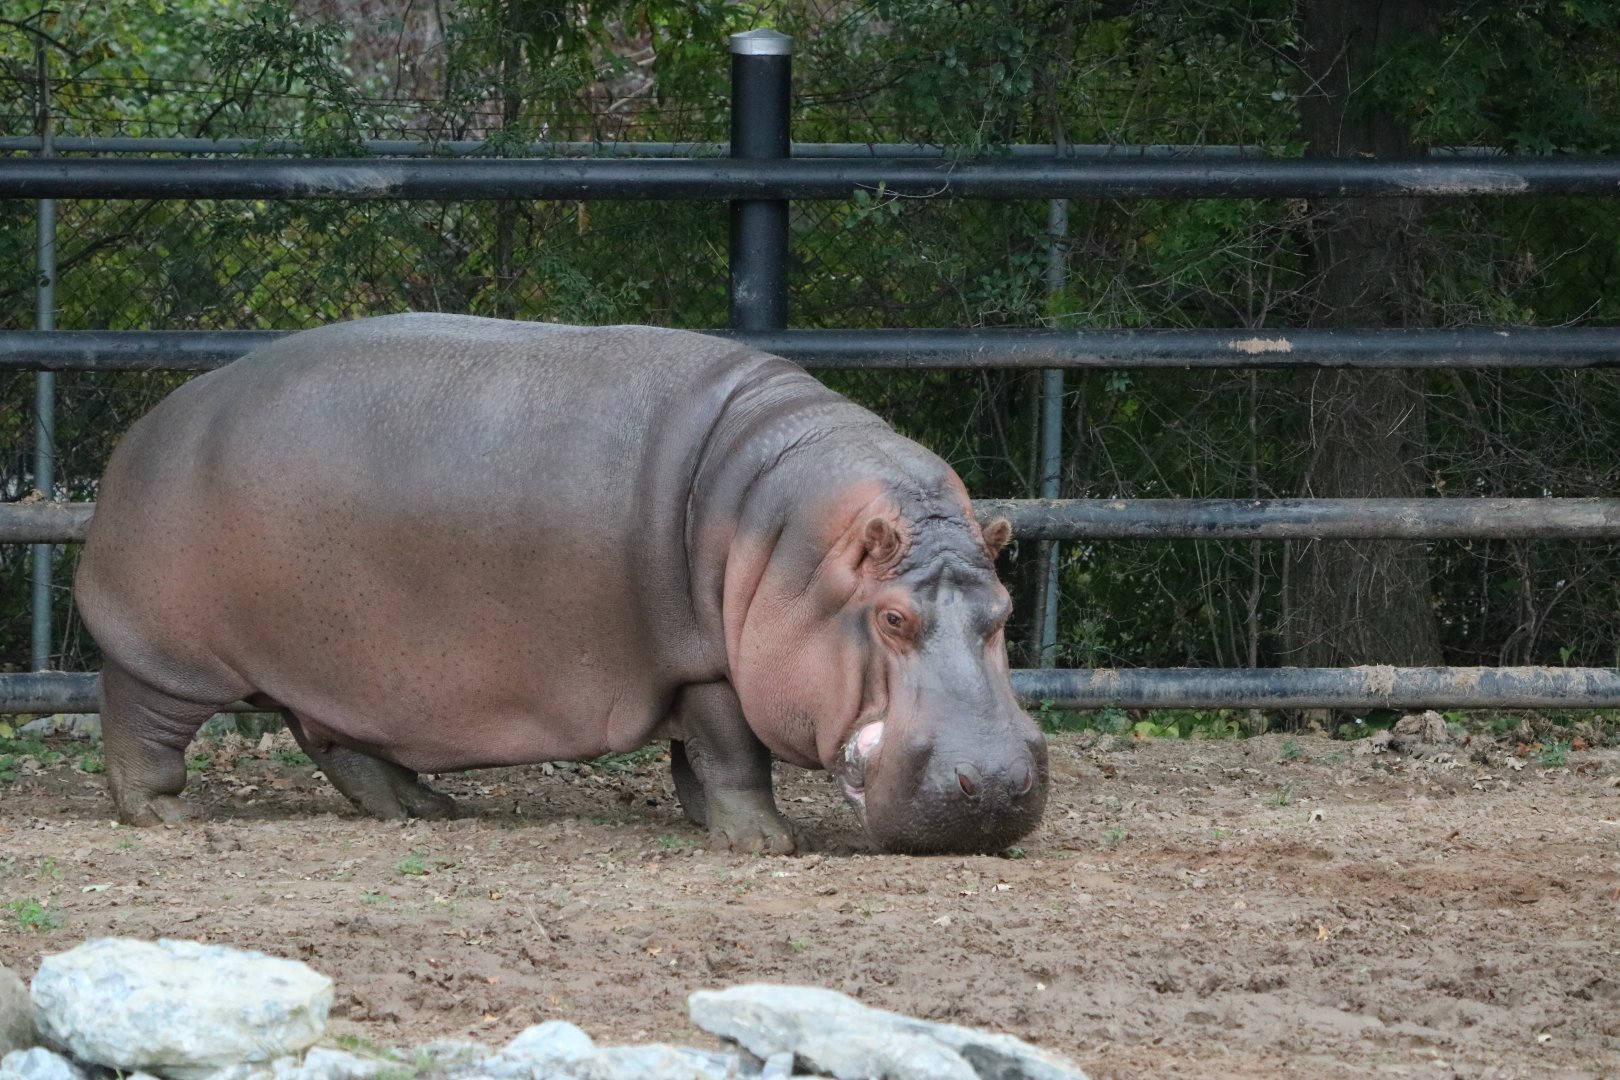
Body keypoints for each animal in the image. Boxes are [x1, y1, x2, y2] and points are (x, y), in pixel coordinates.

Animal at [74, 314, 1047, 853]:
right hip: (169, 653)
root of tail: (150, 426)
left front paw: (708, 821)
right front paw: (766, 841)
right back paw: (164, 817)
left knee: (336, 741)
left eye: (1005, 611)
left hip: (336, 663)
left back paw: (429, 808)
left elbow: (698, 761)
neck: (790, 543)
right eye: (891, 618)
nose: (999, 787)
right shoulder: (706, 663)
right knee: (138, 720)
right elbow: (734, 751)